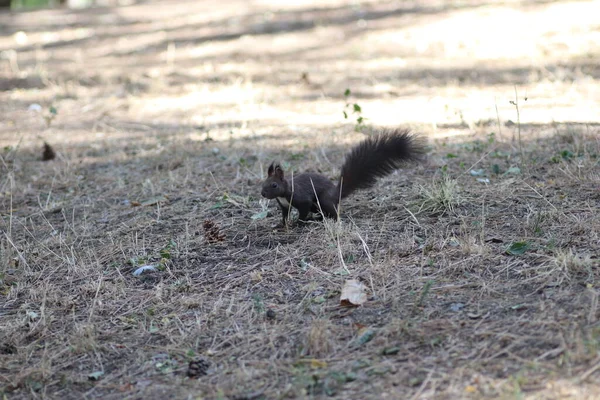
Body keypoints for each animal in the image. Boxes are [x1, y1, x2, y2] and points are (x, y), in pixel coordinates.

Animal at [260, 130, 424, 227]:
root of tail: (336, 194)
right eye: (263, 183)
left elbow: (303, 210)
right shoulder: (284, 205)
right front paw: (281, 224)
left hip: (324, 201)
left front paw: (298, 222)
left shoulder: (301, 198)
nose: (263, 193)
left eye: (274, 185)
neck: (285, 193)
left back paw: (318, 220)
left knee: (333, 214)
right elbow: (284, 215)